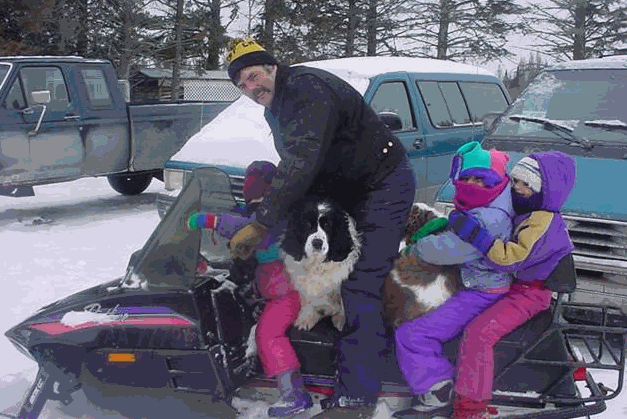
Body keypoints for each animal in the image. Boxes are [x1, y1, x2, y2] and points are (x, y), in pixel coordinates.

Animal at [280, 197, 364, 332]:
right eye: (307, 224)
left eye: (328, 225)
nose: (317, 243)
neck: (317, 263)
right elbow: (307, 298)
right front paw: (306, 318)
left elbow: (341, 300)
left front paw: (341, 320)